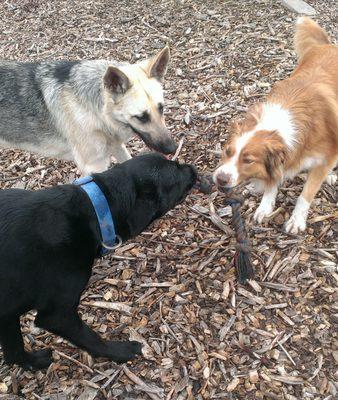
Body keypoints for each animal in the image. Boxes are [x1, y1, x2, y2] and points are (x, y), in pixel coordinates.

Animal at [0, 46, 177, 173]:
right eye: (141, 117)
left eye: (161, 108)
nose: (172, 149)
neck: (94, 111)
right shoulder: (94, 167)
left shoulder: (116, 146)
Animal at [0, 152, 198, 368]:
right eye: (175, 171)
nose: (193, 169)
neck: (95, 210)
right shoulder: (57, 314)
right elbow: (91, 339)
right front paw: (120, 351)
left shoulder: (7, 314)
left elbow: (13, 352)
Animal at [214, 17, 338, 234]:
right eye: (227, 151)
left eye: (248, 160)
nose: (220, 179)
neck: (277, 127)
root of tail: (327, 45)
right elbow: (273, 182)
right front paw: (265, 205)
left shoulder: (323, 157)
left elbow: (306, 194)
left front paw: (296, 220)